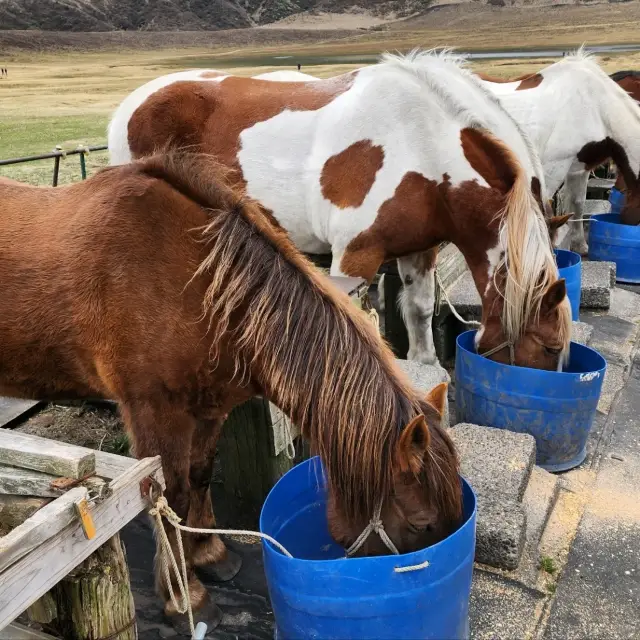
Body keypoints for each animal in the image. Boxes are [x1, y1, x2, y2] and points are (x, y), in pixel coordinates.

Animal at [0, 152, 462, 632]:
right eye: (422, 524)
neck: (197, 285)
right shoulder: (154, 413)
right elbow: (172, 497)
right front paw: (185, 596)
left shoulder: (209, 407)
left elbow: (200, 476)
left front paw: (210, 554)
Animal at [110, 48, 568, 370]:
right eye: (550, 347)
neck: (422, 144)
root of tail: (128, 109)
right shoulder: (353, 257)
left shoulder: (420, 250)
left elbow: (419, 311)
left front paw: (425, 365)